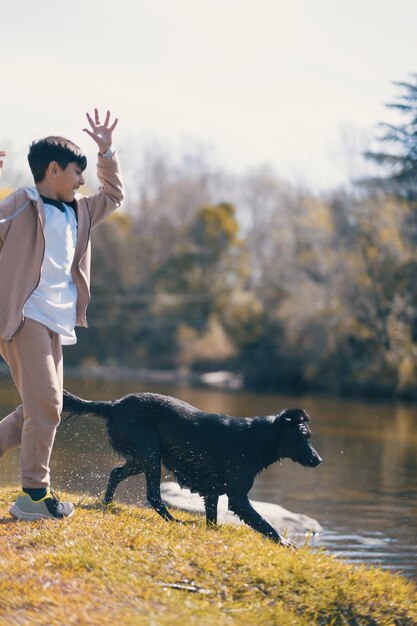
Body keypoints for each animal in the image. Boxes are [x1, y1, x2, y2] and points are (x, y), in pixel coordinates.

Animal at [62, 388, 322, 544]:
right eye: (304, 437)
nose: (318, 460)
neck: (256, 438)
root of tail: (114, 405)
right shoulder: (238, 497)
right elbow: (265, 524)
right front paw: (285, 543)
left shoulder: (213, 492)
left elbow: (212, 519)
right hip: (150, 453)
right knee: (153, 495)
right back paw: (173, 520)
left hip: (141, 459)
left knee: (116, 473)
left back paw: (107, 504)